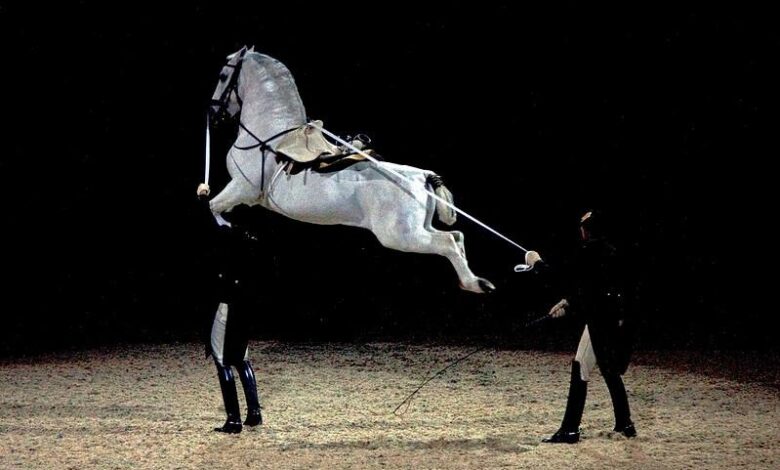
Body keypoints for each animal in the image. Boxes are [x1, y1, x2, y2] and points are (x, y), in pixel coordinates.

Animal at [201, 46, 495, 293]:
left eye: (223, 75)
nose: (212, 114)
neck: (269, 137)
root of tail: (423, 177)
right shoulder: (241, 192)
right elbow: (216, 206)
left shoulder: (241, 189)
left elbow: (213, 206)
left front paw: (230, 228)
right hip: (418, 228)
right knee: (456, 236)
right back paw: (474, 281)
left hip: (402, 236)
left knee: (448, 243)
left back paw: (475, 284)